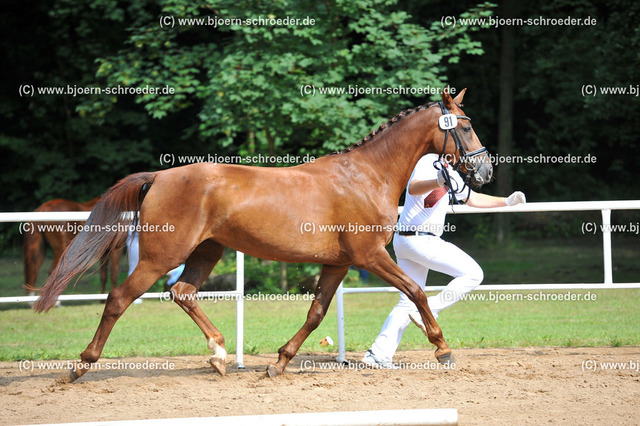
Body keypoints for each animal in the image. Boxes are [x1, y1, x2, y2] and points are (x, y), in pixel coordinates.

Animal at [32, 88, 492, 382]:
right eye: (466, 126)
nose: (486, 170)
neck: (364, 176)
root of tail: (160, 176)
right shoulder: (369, 256)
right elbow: (415, 291)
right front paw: (443, 349)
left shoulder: (339, 263)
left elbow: (316, 313)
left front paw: (279, 363)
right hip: (160, 256)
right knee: (118, 299)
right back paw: (79, 366)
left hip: (206, 252)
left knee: (182, 292)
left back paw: (219, 355)